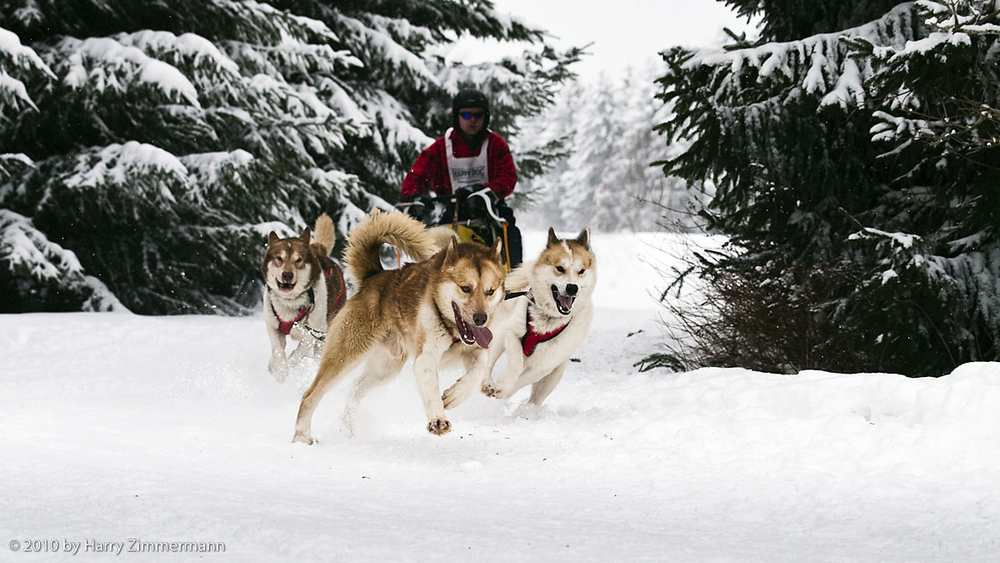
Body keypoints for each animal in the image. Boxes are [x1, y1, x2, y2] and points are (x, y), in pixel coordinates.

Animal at [262, 214, 348, 382]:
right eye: (279, 258)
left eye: (298, 260)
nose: (287, 275)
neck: (290, 302)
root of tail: (319, 250)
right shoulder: (272, 325)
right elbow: (278, 351)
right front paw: (279, 370)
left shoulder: (311, 334)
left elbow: (296, 355)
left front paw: (286, 370)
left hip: (325, 333)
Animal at [292, 209, 504, 442]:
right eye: (465, 288)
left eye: (490, 291)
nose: (481, 318)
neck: (452, 328)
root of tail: (374, 277)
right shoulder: (425, 358)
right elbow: (432, 390)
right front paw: (438, 419)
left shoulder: (473, 351)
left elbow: (479, 368)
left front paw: (455, 395)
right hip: (345, 356)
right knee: (309, 395)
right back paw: (301, 436)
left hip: (385, 369)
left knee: (355, 389)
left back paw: (347, 428)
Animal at [444, 228, 592, 410]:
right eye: (560, 268)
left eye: (581, 271)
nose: (572, 287)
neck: (547, 318)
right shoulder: (512, 334)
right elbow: (515, 362)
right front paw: (501, 383)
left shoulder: (546, 364)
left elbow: (523, 379)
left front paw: (503, 389)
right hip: (499, 335)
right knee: (490, 362)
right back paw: (487, 382)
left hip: (553, 377)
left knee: (536, 396)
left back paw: (527, 410)